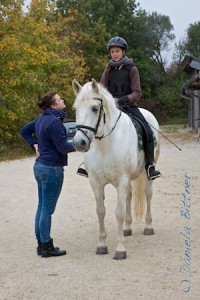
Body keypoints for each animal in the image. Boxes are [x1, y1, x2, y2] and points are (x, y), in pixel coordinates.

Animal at [72, 78, 159, 258]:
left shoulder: (121, 180)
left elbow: (118, 212)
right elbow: (100, 211)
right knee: (129, 196)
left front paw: (120, 249)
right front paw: (102, 245)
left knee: (148, 194)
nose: (79, 143)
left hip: (147, 174)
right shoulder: (96, 182)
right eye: (75, 109)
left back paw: (148, 227)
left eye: (95, 108)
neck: (105, 144)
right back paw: (127, 228)